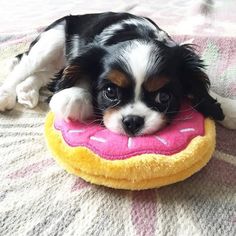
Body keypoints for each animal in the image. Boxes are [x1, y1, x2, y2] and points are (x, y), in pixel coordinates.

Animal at [0, 12, 235, 136]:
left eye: (164, 97)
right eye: (110, 92)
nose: (132, 121)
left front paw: (228, 108)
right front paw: (74, 97)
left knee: (45, 74)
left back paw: (27, 91)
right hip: (52, 41)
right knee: (24, 67)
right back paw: (7, 95)